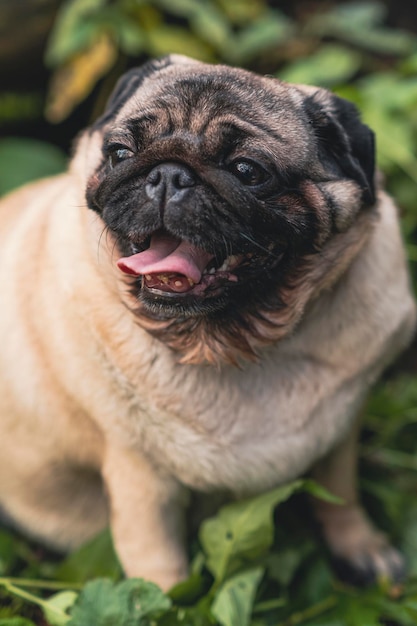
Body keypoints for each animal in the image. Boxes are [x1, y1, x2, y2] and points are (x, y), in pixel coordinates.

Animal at [0, 54, 414, 588]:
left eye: (248, 171)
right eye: (118, 153)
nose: (168, 174)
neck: (231, 344)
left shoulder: (339, 432)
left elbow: (341, 494)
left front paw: (362, 548)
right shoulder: (141, 481)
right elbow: (161, 578)